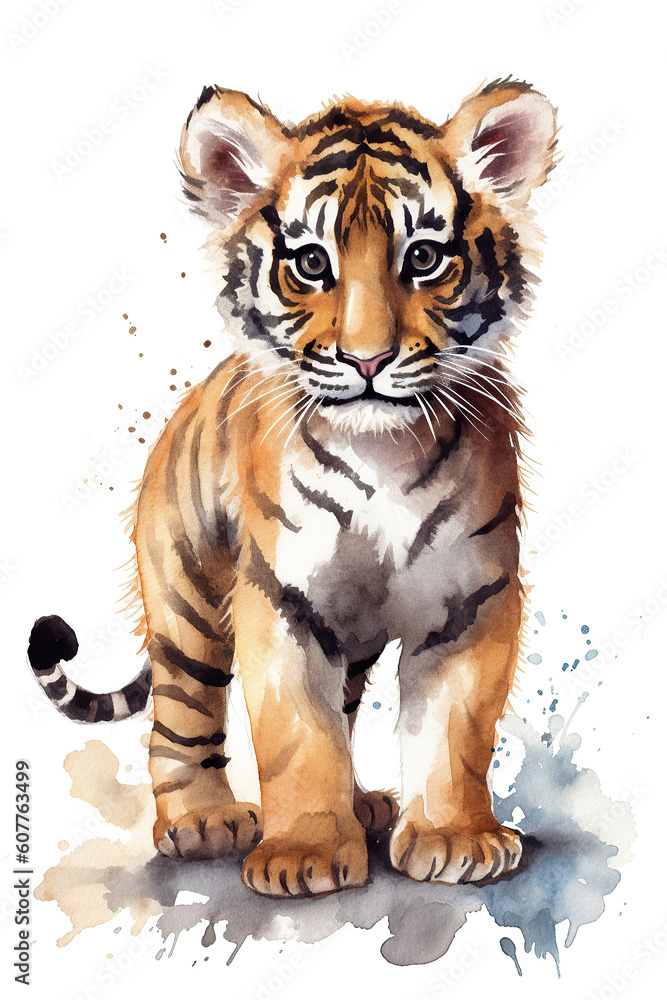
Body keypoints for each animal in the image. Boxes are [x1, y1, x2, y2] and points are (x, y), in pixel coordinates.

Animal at [28, 78, 557, 898]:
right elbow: (294, 733)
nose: (367, 360)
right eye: (310, 263)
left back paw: (365, 805)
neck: (382, 452)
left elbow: (453, 728)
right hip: (186, 594)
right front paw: (302, 853)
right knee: (180, 716)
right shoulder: (280, 596)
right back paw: (201, 820)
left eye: (424, 257)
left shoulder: (475, 598)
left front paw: (454, 838)